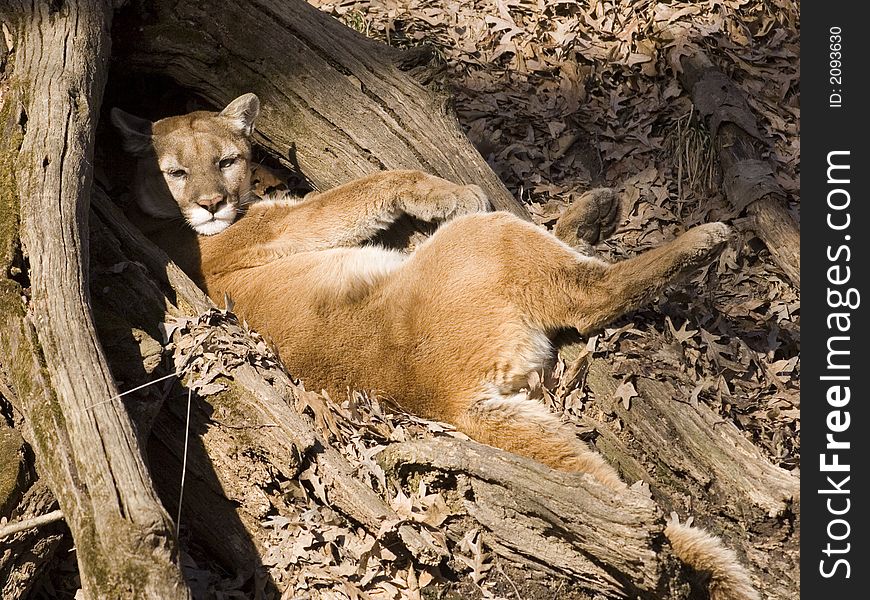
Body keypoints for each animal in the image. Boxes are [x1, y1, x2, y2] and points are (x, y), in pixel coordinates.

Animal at [112, 95, 760, 600]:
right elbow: (371, 185)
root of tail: (451, 401)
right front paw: (451, 191)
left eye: (226, 161)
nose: (210, 204)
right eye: (176, 172)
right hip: (489, 241)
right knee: (587, 294)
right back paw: (700, 238)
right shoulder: (287, 223)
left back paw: (595, 211)